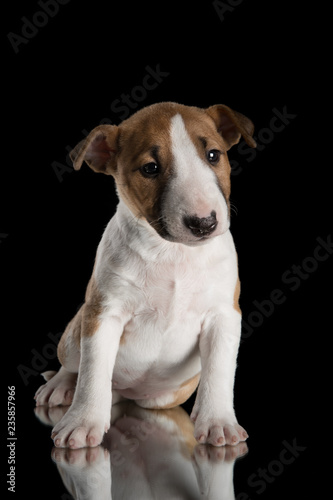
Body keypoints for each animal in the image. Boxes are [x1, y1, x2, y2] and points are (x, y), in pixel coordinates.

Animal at [35, 100, 255, 450]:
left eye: (213, 155)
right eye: (150, 169)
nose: (204, 223)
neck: (173, 253)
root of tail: (129, 392)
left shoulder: (224, 315)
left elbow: (219, 371)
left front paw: (218, 422)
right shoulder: (103, 313)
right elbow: (93, 370)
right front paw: (83, 423)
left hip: (164, 397)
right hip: (74, 333)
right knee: (76, 367)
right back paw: (60, 385)